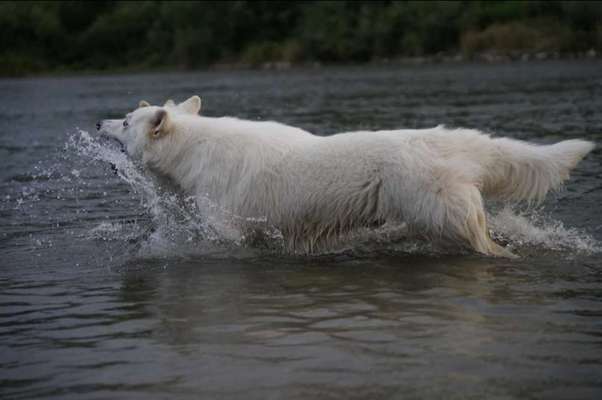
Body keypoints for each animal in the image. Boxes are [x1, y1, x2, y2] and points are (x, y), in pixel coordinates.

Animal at [97, 96, 592, 256]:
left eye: (125, 121)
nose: (98, 122)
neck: (190, 152)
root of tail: (446, 142)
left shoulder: (228, 226)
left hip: (436, 208)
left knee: (480, 241)